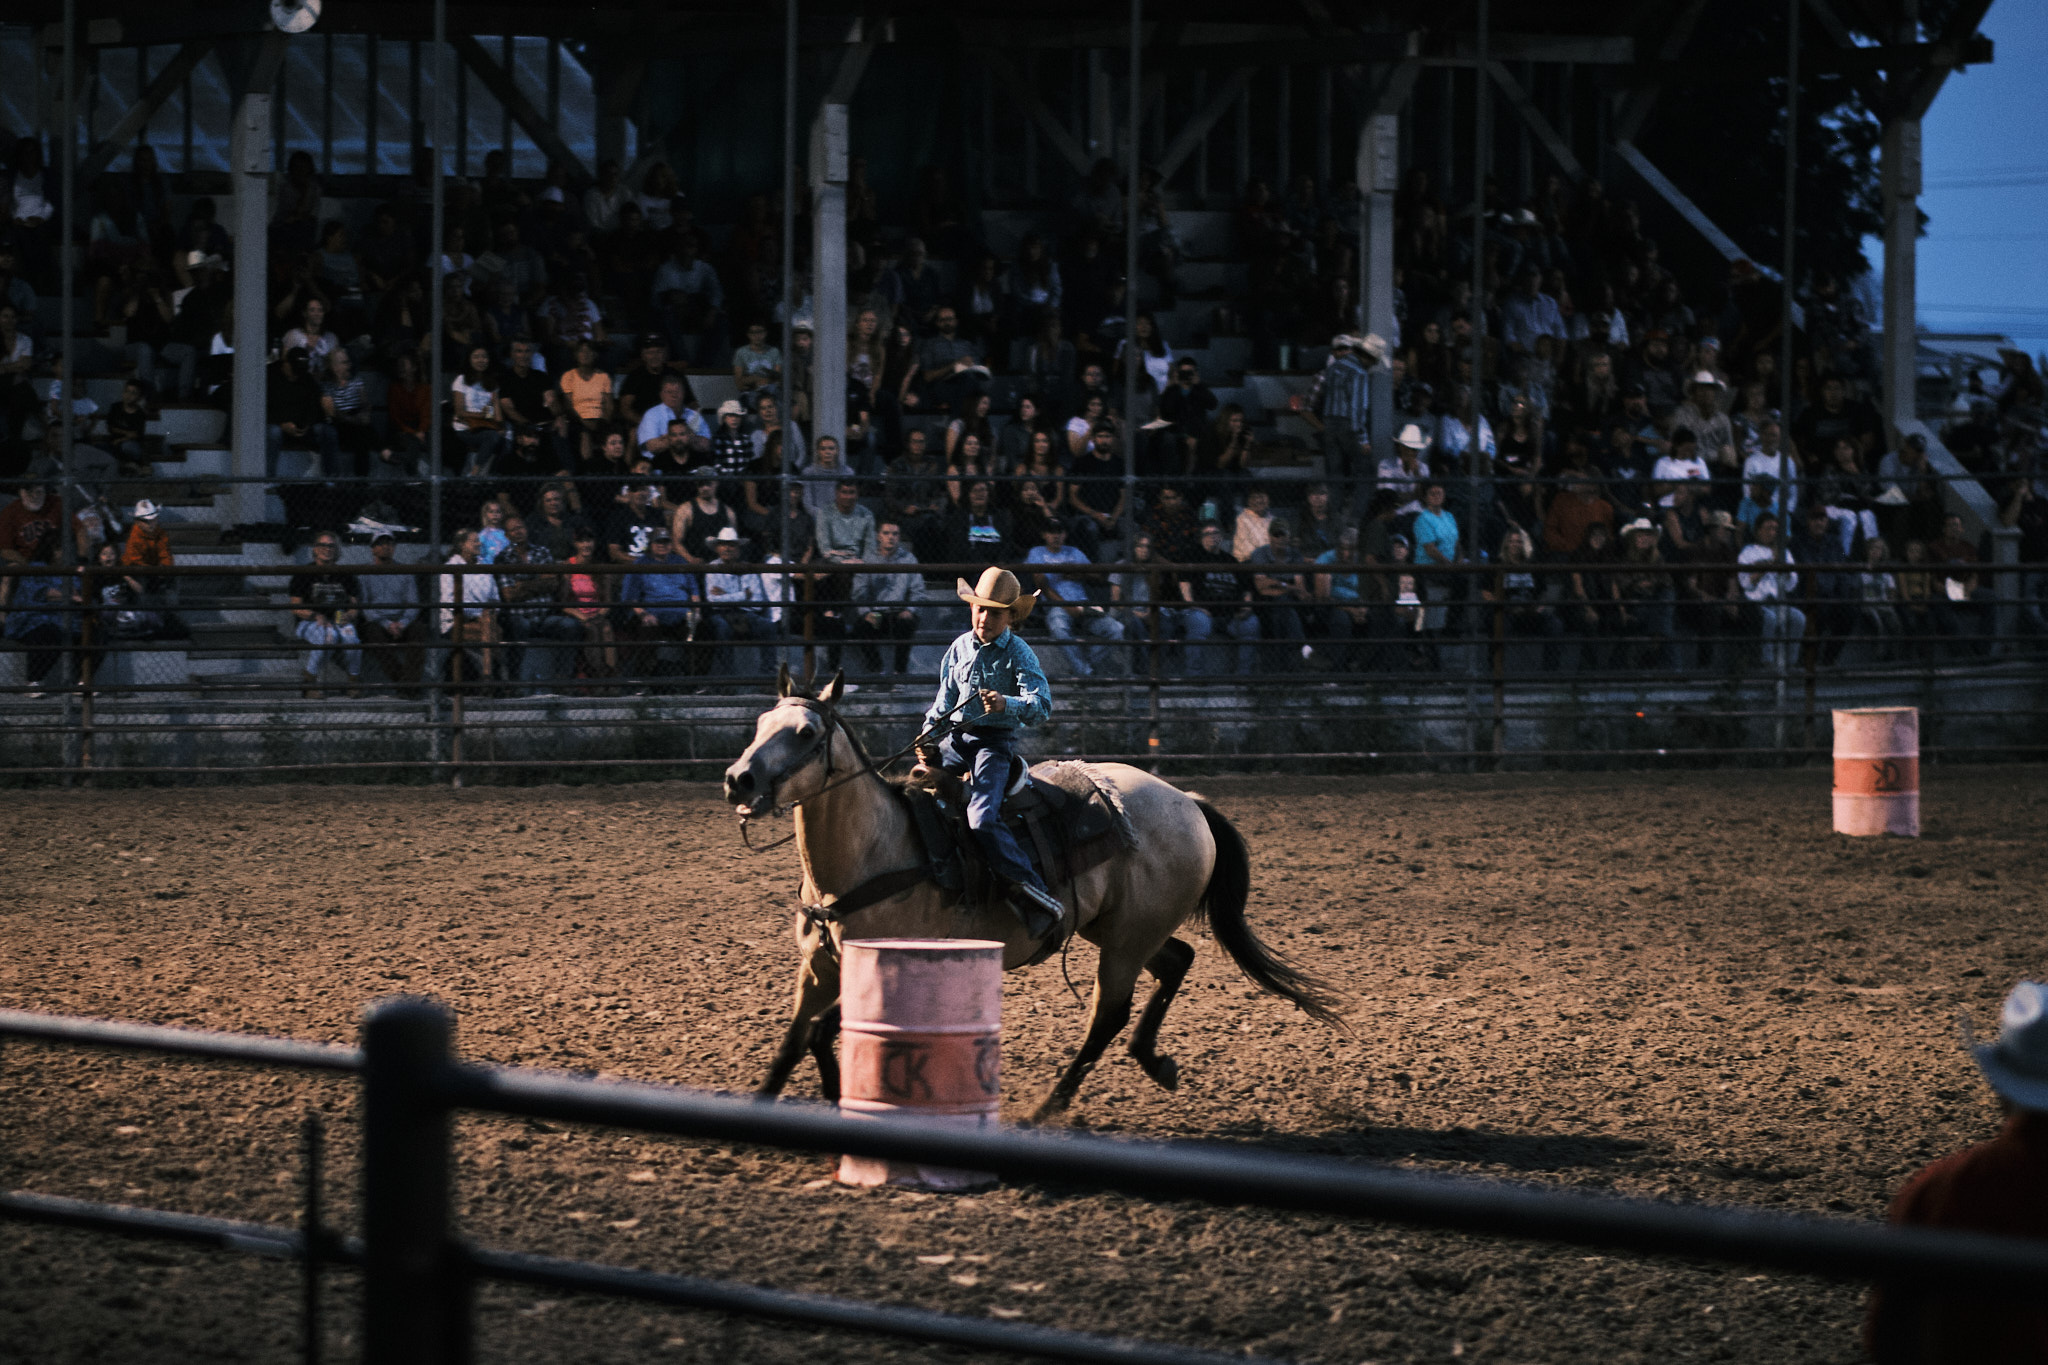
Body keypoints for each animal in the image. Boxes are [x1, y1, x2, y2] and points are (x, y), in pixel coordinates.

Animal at [724, 667, 1343, 1129]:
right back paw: (1154, 1062)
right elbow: (795, 1039)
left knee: (1108, 1013)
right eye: (760, 723)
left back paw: (1047, 1108)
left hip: (1126, 941)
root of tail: (1188, 802)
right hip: (1117, 927)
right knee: (1176, 961)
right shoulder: (819, 965)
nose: (739, 780)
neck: (878, 849)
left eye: (806, 733)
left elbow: (821, 1032)